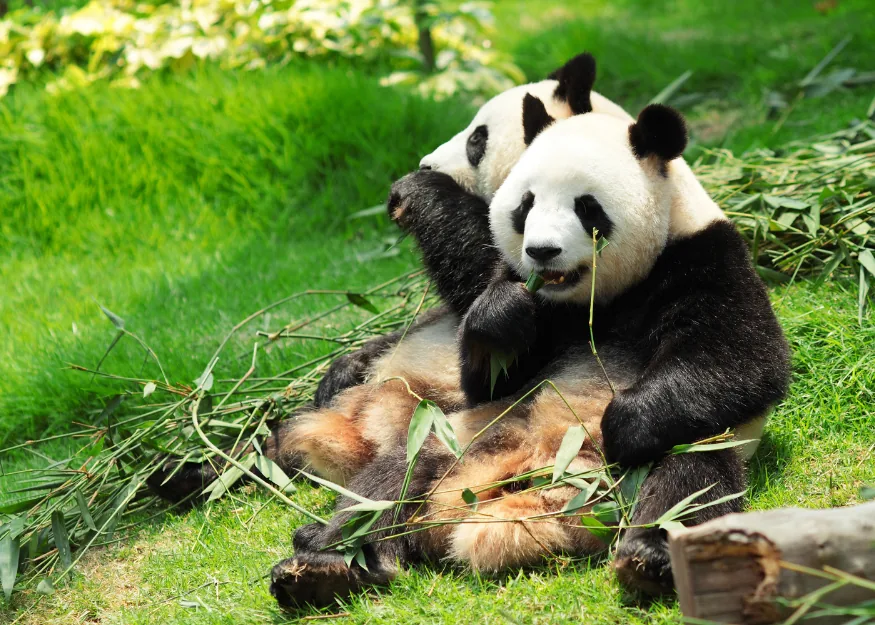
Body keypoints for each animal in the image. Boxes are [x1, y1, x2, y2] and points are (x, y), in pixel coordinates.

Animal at [268, 105, 790, 606]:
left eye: (586, 206)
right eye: (526, 204)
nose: (542, 252)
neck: (594, 299)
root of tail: (539, 481)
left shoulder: (703, 257)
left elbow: (743, 363)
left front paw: (621, 423)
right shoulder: (528, 299)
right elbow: (490, 373)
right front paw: (503, 315)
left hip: (678, 453)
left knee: (690, 481)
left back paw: (649, 558)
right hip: (460, 434)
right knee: (391, 481)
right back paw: (326, 566)